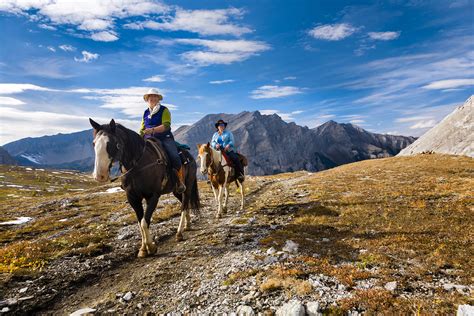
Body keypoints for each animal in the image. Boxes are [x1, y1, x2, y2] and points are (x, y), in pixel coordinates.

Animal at [90, 118, 199, 256]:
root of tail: (189, 156)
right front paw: (143, 249)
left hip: (188, 186)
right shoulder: (133, 198)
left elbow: (144, 222)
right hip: (176, 191)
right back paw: (188, 225)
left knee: (184, 205)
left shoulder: (153, 196)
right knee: (185, 203)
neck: (138, 165)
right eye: (94, 143)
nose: (99, 175)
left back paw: (179, 233)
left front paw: (150, 247)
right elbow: (140, 222)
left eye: (112, 143)